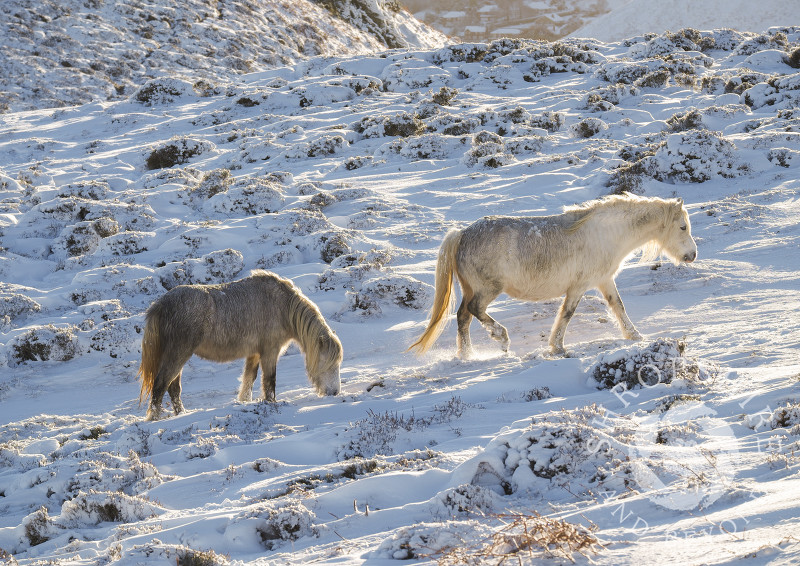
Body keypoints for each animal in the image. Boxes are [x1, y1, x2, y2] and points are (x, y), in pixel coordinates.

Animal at [410, 193, 696, 358]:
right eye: (683, 227)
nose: (692, 255)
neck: (607, 234)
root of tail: (462, 234)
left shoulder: (604, 281)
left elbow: (618, 306)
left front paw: (634, 336)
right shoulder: (579, 286)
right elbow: (567, 314)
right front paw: (557, 347)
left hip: (472, 289)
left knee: (463, 318)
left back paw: (467, 355)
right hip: (487, 289)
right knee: (474, 310)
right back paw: (501, 338)